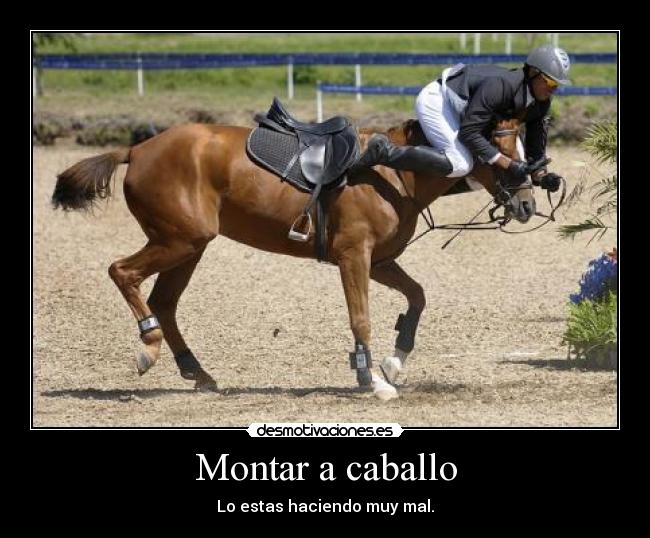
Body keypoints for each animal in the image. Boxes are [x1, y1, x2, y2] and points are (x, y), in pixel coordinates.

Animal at [51, 109, 535, 402]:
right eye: (502, 151)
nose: (528, 204)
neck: (394, 169)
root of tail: (137, 149)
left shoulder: (380, 261)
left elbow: (416, 296)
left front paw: (394, 361)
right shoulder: (354, 257)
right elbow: (361, 318)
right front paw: (373, 380)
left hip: (188, 246)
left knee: (163, 303)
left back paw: (197, 373)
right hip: (179, 241)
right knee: (123, 273)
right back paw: (148, 349)